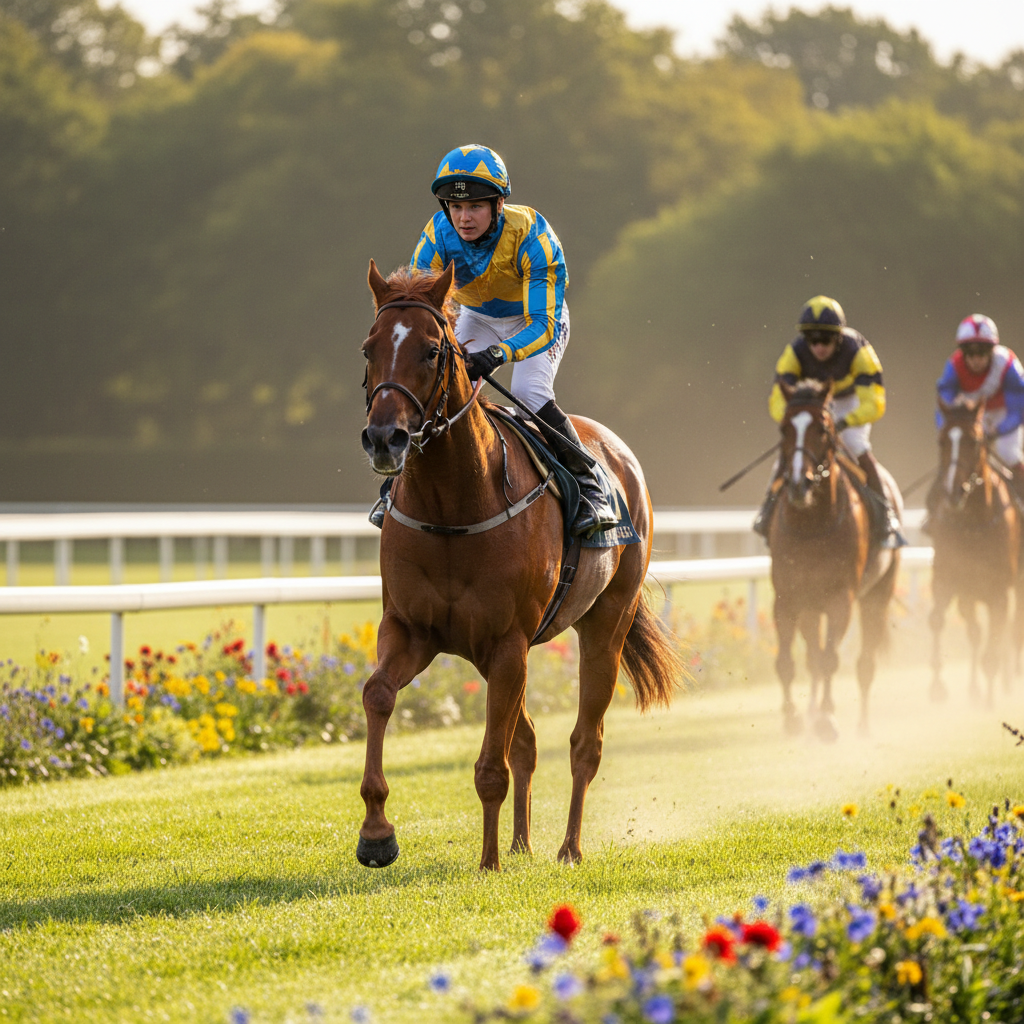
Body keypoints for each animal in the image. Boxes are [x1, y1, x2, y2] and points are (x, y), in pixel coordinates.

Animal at [356, 260, 683, 871]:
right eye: (369, 349)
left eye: (432, 351)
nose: (385, 438)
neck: (453, 507)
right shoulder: (414, 629)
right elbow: (378, 694)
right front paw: (377, 833)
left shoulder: (507, 642)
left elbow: (492, 765)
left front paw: (488, 864)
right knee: (528, 739)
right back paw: (521, 842)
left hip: (606, 624)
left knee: (585, 742)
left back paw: (568, 847)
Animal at [768, 380, 901, 740]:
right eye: (784, 429)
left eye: (823, 429)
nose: (799, 484)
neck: (812, 524)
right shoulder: (787, 596)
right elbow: (787, 662)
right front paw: (792, 717)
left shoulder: (841, 597)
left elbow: (830, 658)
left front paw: (827, 718)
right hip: (811, 606)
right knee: (812, 655)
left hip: (877, 595)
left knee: (865, 662)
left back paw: (863, 724)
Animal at [929, 398, 1021, 706]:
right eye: (942, 440)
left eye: (975, 440)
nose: (954, 492)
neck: (973, 523)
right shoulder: (947, 578)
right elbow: (938, 620)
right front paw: (938, 686)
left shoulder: (999, 590)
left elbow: (996, 641)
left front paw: (990, 698)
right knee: (976, 632)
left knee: (1011, 630)